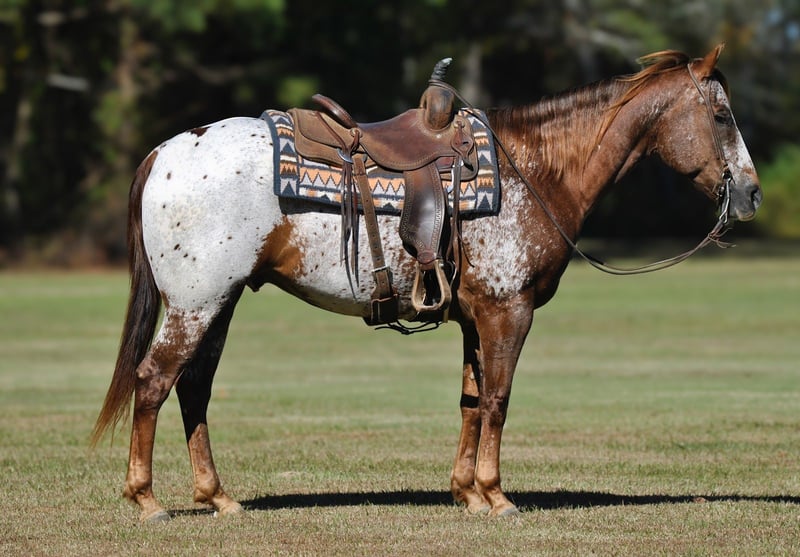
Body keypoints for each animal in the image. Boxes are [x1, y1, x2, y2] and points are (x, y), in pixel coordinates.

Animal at [92, 45, 761, 522]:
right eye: (721, 114)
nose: (752, 194)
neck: (537, 170)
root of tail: (164, 153)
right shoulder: (509, 311)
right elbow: (498, 399)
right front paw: (497, 496)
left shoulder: (475, 315)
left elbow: (470, 399)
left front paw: (467, 492)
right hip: (197, 302)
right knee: (154, 381)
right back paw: (147, 500)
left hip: (219, 302)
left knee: (193, 387)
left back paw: (217, 497)